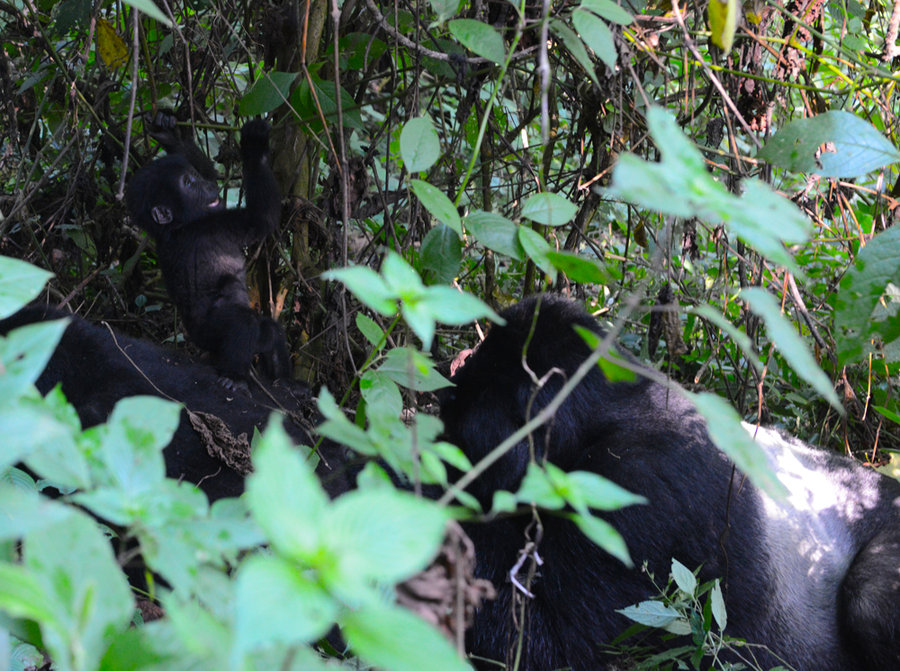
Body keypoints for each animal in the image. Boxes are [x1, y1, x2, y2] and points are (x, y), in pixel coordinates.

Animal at [126, 114, 286, 388]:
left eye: (194, 176)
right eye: (189, 184)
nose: (209, 186)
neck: (178, 227)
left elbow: (209, 167)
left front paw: (168, 134)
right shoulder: (216, 225)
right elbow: (261, 219)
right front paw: (254, 146)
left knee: (268, 332)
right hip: (208, 334)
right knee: (242, 322)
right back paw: (234, 376)